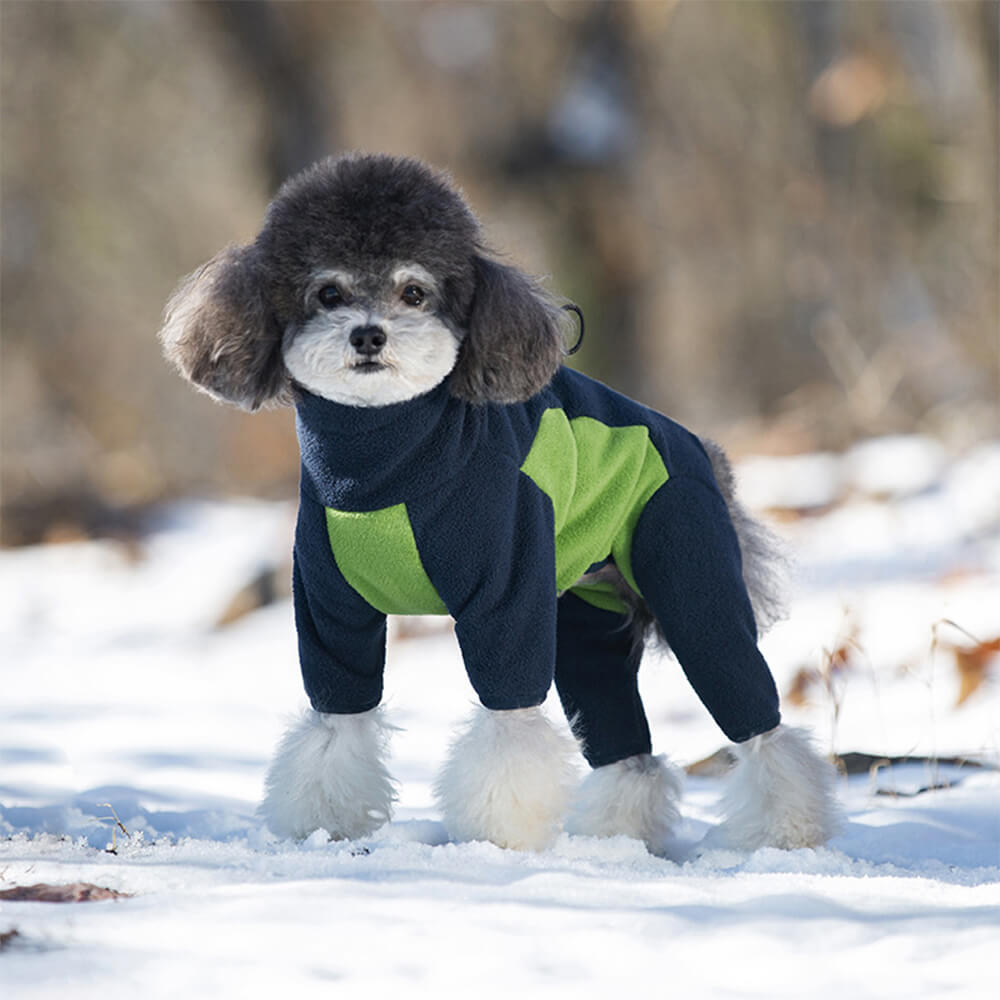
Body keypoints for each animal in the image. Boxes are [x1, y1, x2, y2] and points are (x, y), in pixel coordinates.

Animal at [158, 152, 844, 856]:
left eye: (414, 292)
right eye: (328, 293)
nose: (369, 335)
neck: (384, 462)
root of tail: (705, 453)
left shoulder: (506, 599)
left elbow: (509, 726)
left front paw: (499, 837)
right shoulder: (331, 613)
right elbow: (334, 725)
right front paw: (327, 824)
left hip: (691, 582)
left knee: (757, 719)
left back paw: (788, 831)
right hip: (585, 620)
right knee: (626, 747)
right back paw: (618, 835)